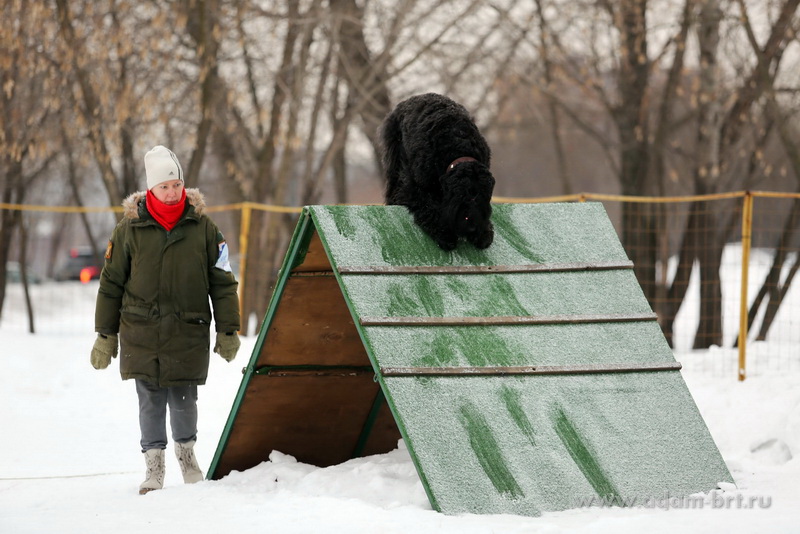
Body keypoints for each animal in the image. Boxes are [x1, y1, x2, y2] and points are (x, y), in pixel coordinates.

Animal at [380, 93, 495, 251]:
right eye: (461, 196)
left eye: (483, 196)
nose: (472, 227)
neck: (459, 149)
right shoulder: (417, 186)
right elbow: (428, 206)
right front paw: (444, 234)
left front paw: (484, 233)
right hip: (395, 155)